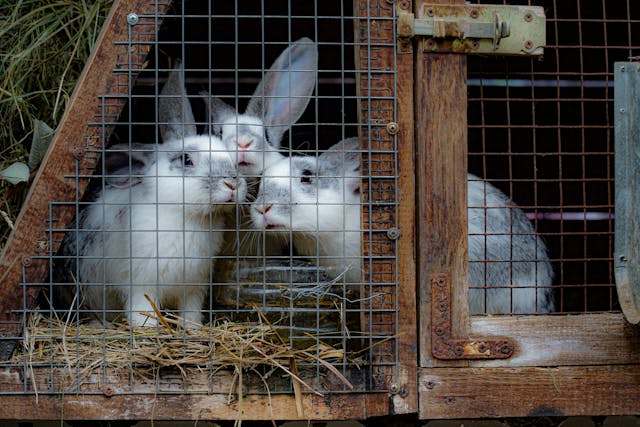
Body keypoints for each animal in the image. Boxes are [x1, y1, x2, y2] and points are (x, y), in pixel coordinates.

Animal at [54, 61, 248, 328]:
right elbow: (142, 312)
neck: (185, 215)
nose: (232, 183)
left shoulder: (193, 286)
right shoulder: (141, 284)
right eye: (186, 160)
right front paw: (147, 329)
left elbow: (191, 312)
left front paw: (193, 328)